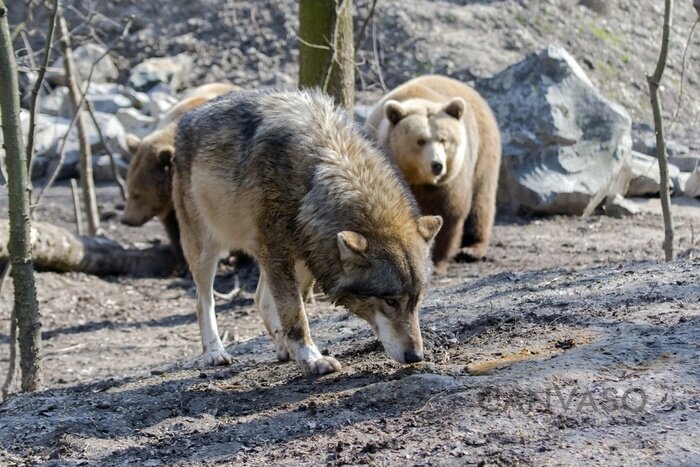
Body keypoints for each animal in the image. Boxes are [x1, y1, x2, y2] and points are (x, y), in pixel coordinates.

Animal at [370, 75, 500, 274]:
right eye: (420, 140)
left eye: (443, 139)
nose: (437, 165)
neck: (418, 179)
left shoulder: (450, 180)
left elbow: (448, 212)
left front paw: (437, 262)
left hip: (483, 153)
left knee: (482, 200)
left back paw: (471, 249)